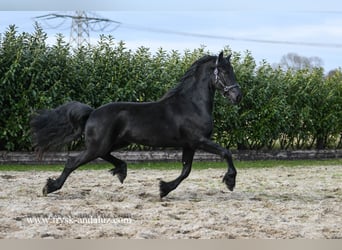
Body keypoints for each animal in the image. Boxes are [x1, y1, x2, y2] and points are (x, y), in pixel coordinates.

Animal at [30, 51, 242, 198]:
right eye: (224, 71)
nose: (237, 96)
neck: (191, 104)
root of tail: (92, 113)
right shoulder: (199, 140)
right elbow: (226, 152)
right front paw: (230, 181)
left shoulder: (189, 144)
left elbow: (186, 171)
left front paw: (164, 189)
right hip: (99, 145)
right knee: (72, 162)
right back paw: (50, 187)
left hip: (114, 143)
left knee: (105, 156)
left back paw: (121, 171)